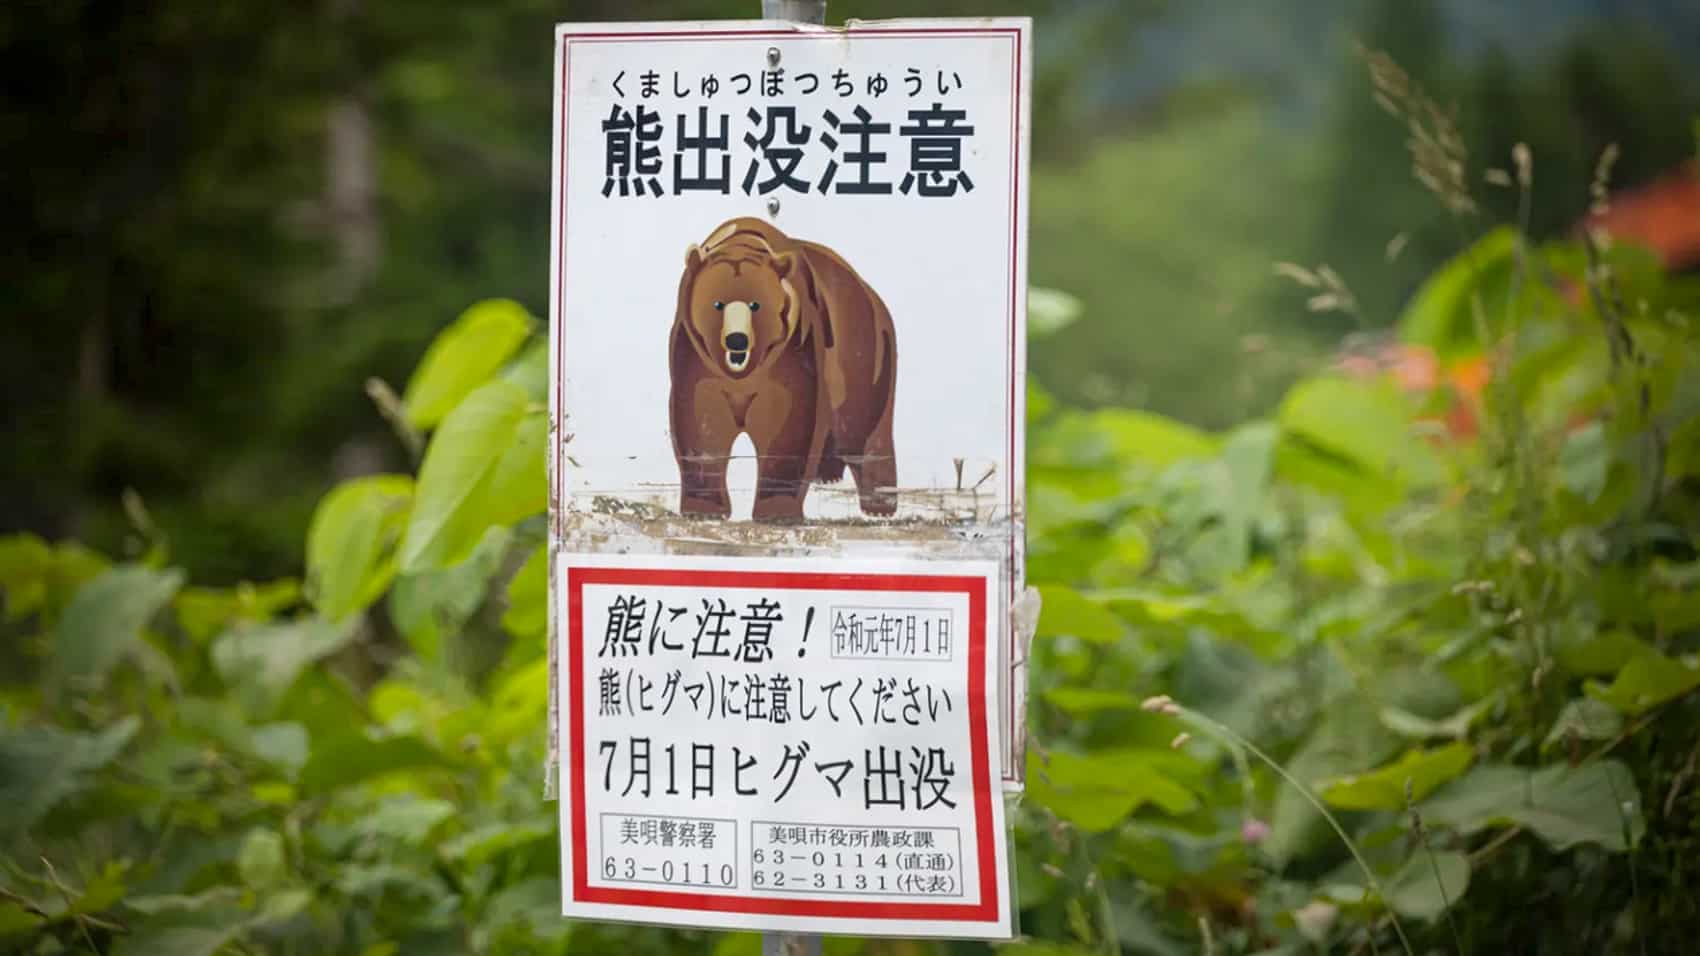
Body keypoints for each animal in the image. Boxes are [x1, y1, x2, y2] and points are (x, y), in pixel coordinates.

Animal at [669, 216, 897, 522]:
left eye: (755, 304)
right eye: (717, 303)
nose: (737, 339)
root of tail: (870, 293)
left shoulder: (794, 347)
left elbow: (788, 417)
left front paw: (777, 508)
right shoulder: (694, 354)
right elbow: (701, 418)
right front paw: (703, 507)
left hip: (863, 351)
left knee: (862, 428)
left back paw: (879, 504)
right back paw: (827, 474)